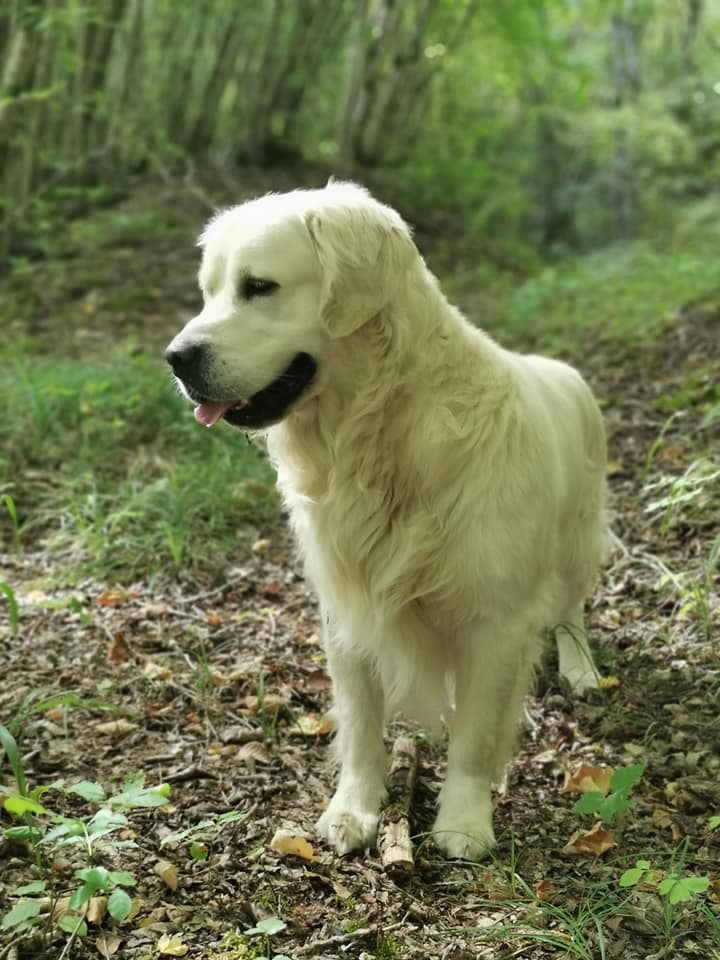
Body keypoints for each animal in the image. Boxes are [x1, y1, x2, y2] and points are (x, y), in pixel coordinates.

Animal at [165, 184, 608, 860]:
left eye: (259, 286)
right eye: (207, 291)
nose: (175, 358)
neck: (380, 438)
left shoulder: (495, 621)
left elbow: (475, 734)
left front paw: (463, 821)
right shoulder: (348, 607)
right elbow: (359, 722)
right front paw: (354, 809)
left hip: (576, 535)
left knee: (572, 608)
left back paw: (581, 667)